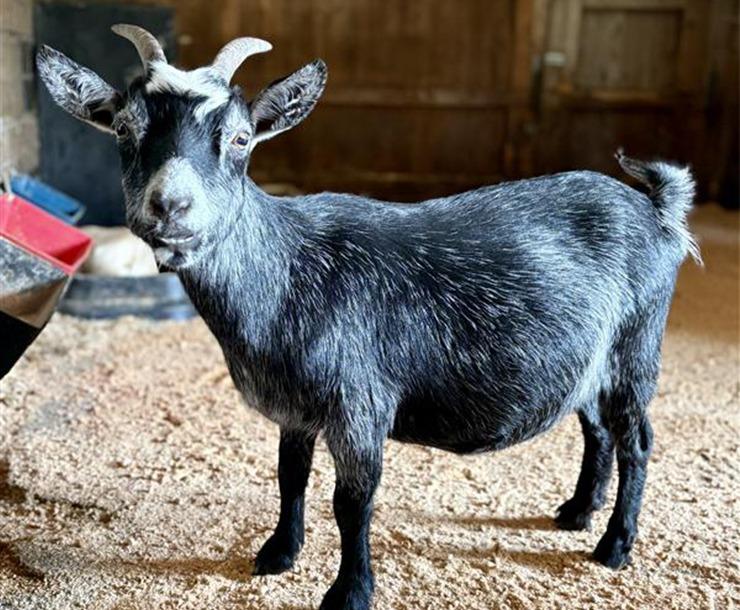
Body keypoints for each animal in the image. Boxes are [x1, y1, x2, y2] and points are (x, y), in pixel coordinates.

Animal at [37, 25, 699, 610]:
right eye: (124, 128)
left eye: (242, 139)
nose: (171, 207)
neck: (286, 273)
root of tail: (658, 209)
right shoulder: (296, 408)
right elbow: (290, 477)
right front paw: (277, 554)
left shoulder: (359, 405)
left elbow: (351, 502)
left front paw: (349, 593)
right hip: (588, 361)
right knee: (597, 429)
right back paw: (577, 512)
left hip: (637, 347)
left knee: (637, 439)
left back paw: (613, 545)